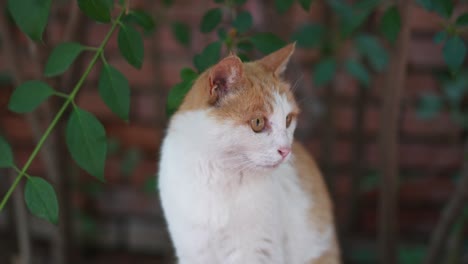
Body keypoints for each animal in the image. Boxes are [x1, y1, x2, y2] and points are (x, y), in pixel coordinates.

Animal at [157, 43, 340, 264]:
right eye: (258, 123)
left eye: (288, 120)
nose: (286, 150)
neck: (218, 175)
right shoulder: (193, 248)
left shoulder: (256, 251)